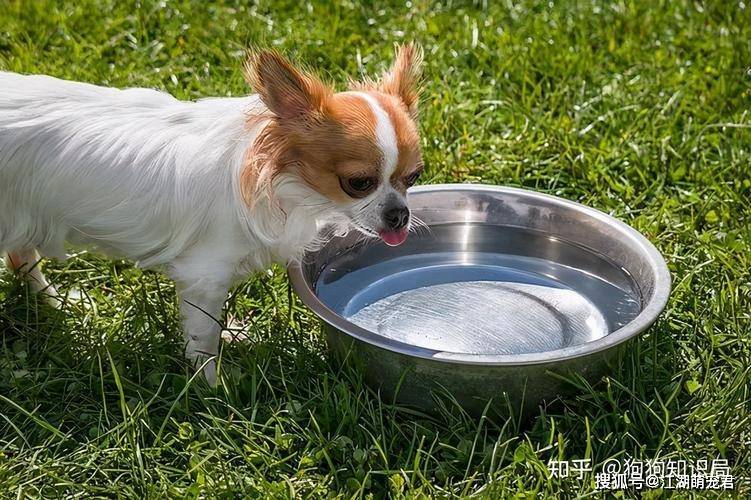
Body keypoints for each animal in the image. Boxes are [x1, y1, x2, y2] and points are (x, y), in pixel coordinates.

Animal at [0, 45, 424, 384]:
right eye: (359, 183)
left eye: (414, 177)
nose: (399, 215)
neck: (282, 180)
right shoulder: (205, 275)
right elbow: (202, 333)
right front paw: (212, 386)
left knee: (21, 257)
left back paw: (58, 303)